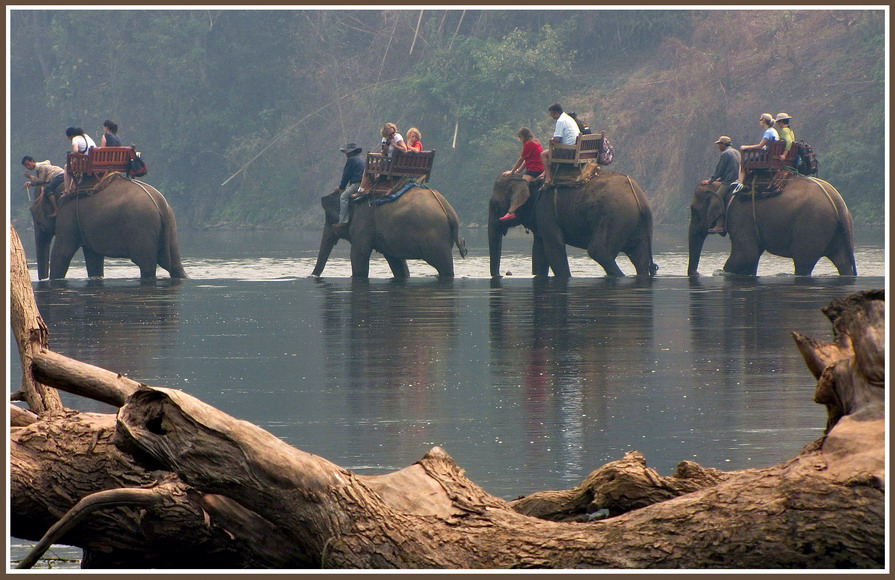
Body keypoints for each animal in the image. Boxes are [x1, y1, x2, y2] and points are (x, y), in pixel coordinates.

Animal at [29, 173, 187, 280]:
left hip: (142, 228)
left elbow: (61, 254)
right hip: (171, 227)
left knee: (146, 265)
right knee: (174, 264)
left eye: (33, 213)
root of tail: (161, 204)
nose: (42, 280)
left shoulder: (67, 216)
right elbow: (94, 258)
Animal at [314, 185, 468, 278]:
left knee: (444, 266)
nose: (312, 276)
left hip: (435, 238)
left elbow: (359, 255)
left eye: (329, 217)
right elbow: (396, 262)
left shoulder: (363, 222)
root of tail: (449, 211)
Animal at [490, 171, 656, 278]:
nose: (503, 274)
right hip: (635, 225)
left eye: (495, 206)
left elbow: (554, 247)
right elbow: (539, 251)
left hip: (616, 219)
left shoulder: (545, 210)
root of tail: (639, 197)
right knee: (639, 258)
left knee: (599, 252)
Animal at [688, 177, 856, 276]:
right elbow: (751, 258)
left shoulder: (741, 215)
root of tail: (838, 201)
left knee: (803, 262)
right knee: (843, 262)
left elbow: (746, 255)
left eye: (693, 211)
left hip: (812, 225)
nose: (696, 274)